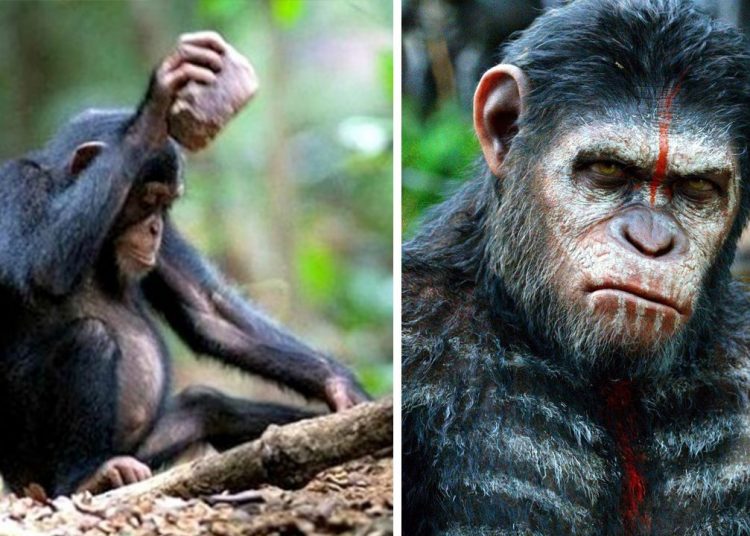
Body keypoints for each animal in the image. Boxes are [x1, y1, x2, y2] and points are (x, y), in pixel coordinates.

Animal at [0, 31, 367, 497]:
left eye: (167, 204)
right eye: (147, 198)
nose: (154, 228)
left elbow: (207, 310)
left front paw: (342, 388)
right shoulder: (14, 186)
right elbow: (44, 270)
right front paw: (157, 104)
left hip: (146, 448)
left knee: (206, 406)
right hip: (28, 463)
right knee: (91, 337)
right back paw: (88, 475)